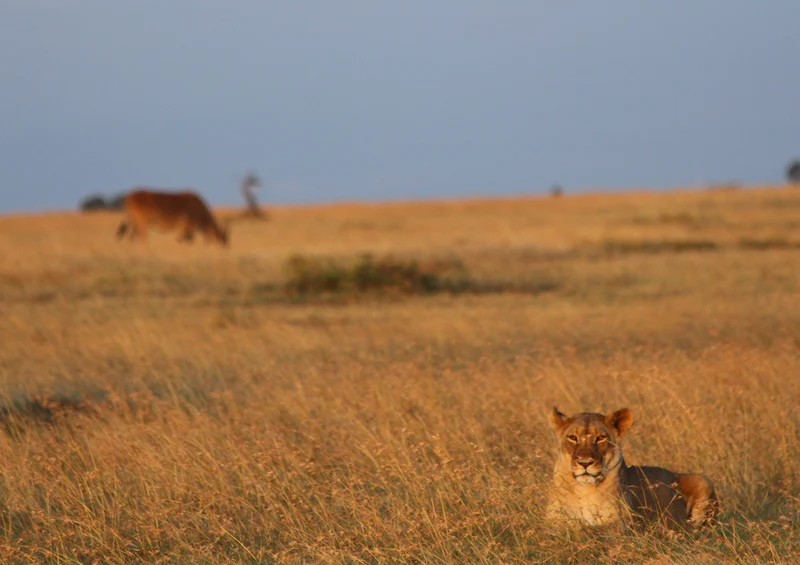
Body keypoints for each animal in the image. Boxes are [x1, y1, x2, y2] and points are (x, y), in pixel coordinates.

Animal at [546, 406, 718, 532]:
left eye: (601, 438)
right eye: (572, 438)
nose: (585, 462)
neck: (584, 490)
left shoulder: (624, 526)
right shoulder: (553, 524)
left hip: (704, 481)